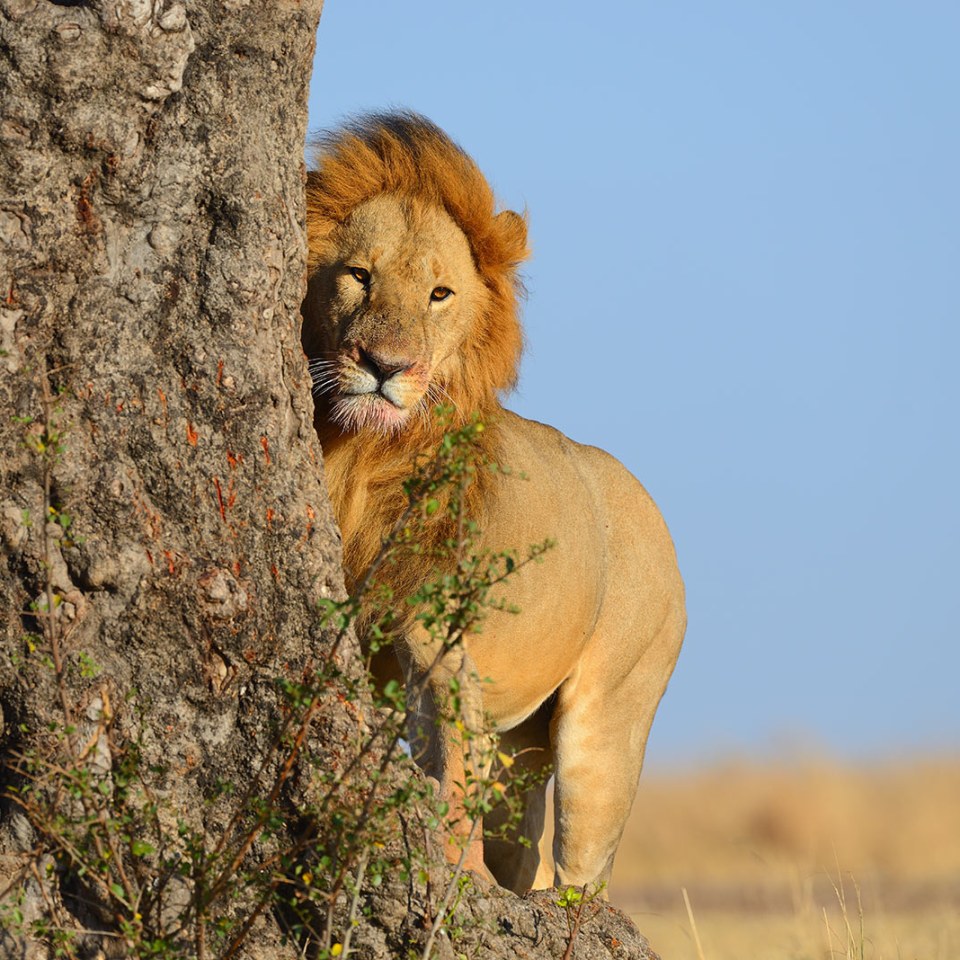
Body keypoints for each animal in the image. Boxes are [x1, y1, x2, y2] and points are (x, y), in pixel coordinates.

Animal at [302, 111, 685, 895]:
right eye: (358, 276)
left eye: (439, 295)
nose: (385, 366)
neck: (359, 454)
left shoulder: (439, 645)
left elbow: (447, 774)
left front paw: (446, 874)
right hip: (520, 741)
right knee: (518, 838)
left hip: (610, 718)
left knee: (581, 873)